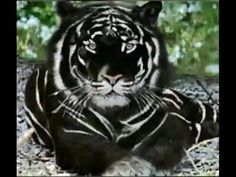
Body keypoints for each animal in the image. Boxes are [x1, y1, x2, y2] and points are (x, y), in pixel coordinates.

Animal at [24, 0, 219, 176]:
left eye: (129, 46)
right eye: (92, 46)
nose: (112, 77)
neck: (116, 114)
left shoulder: (165, 125)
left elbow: (162, 145)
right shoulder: (72, 134)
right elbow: (102, 150)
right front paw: (128, 166)